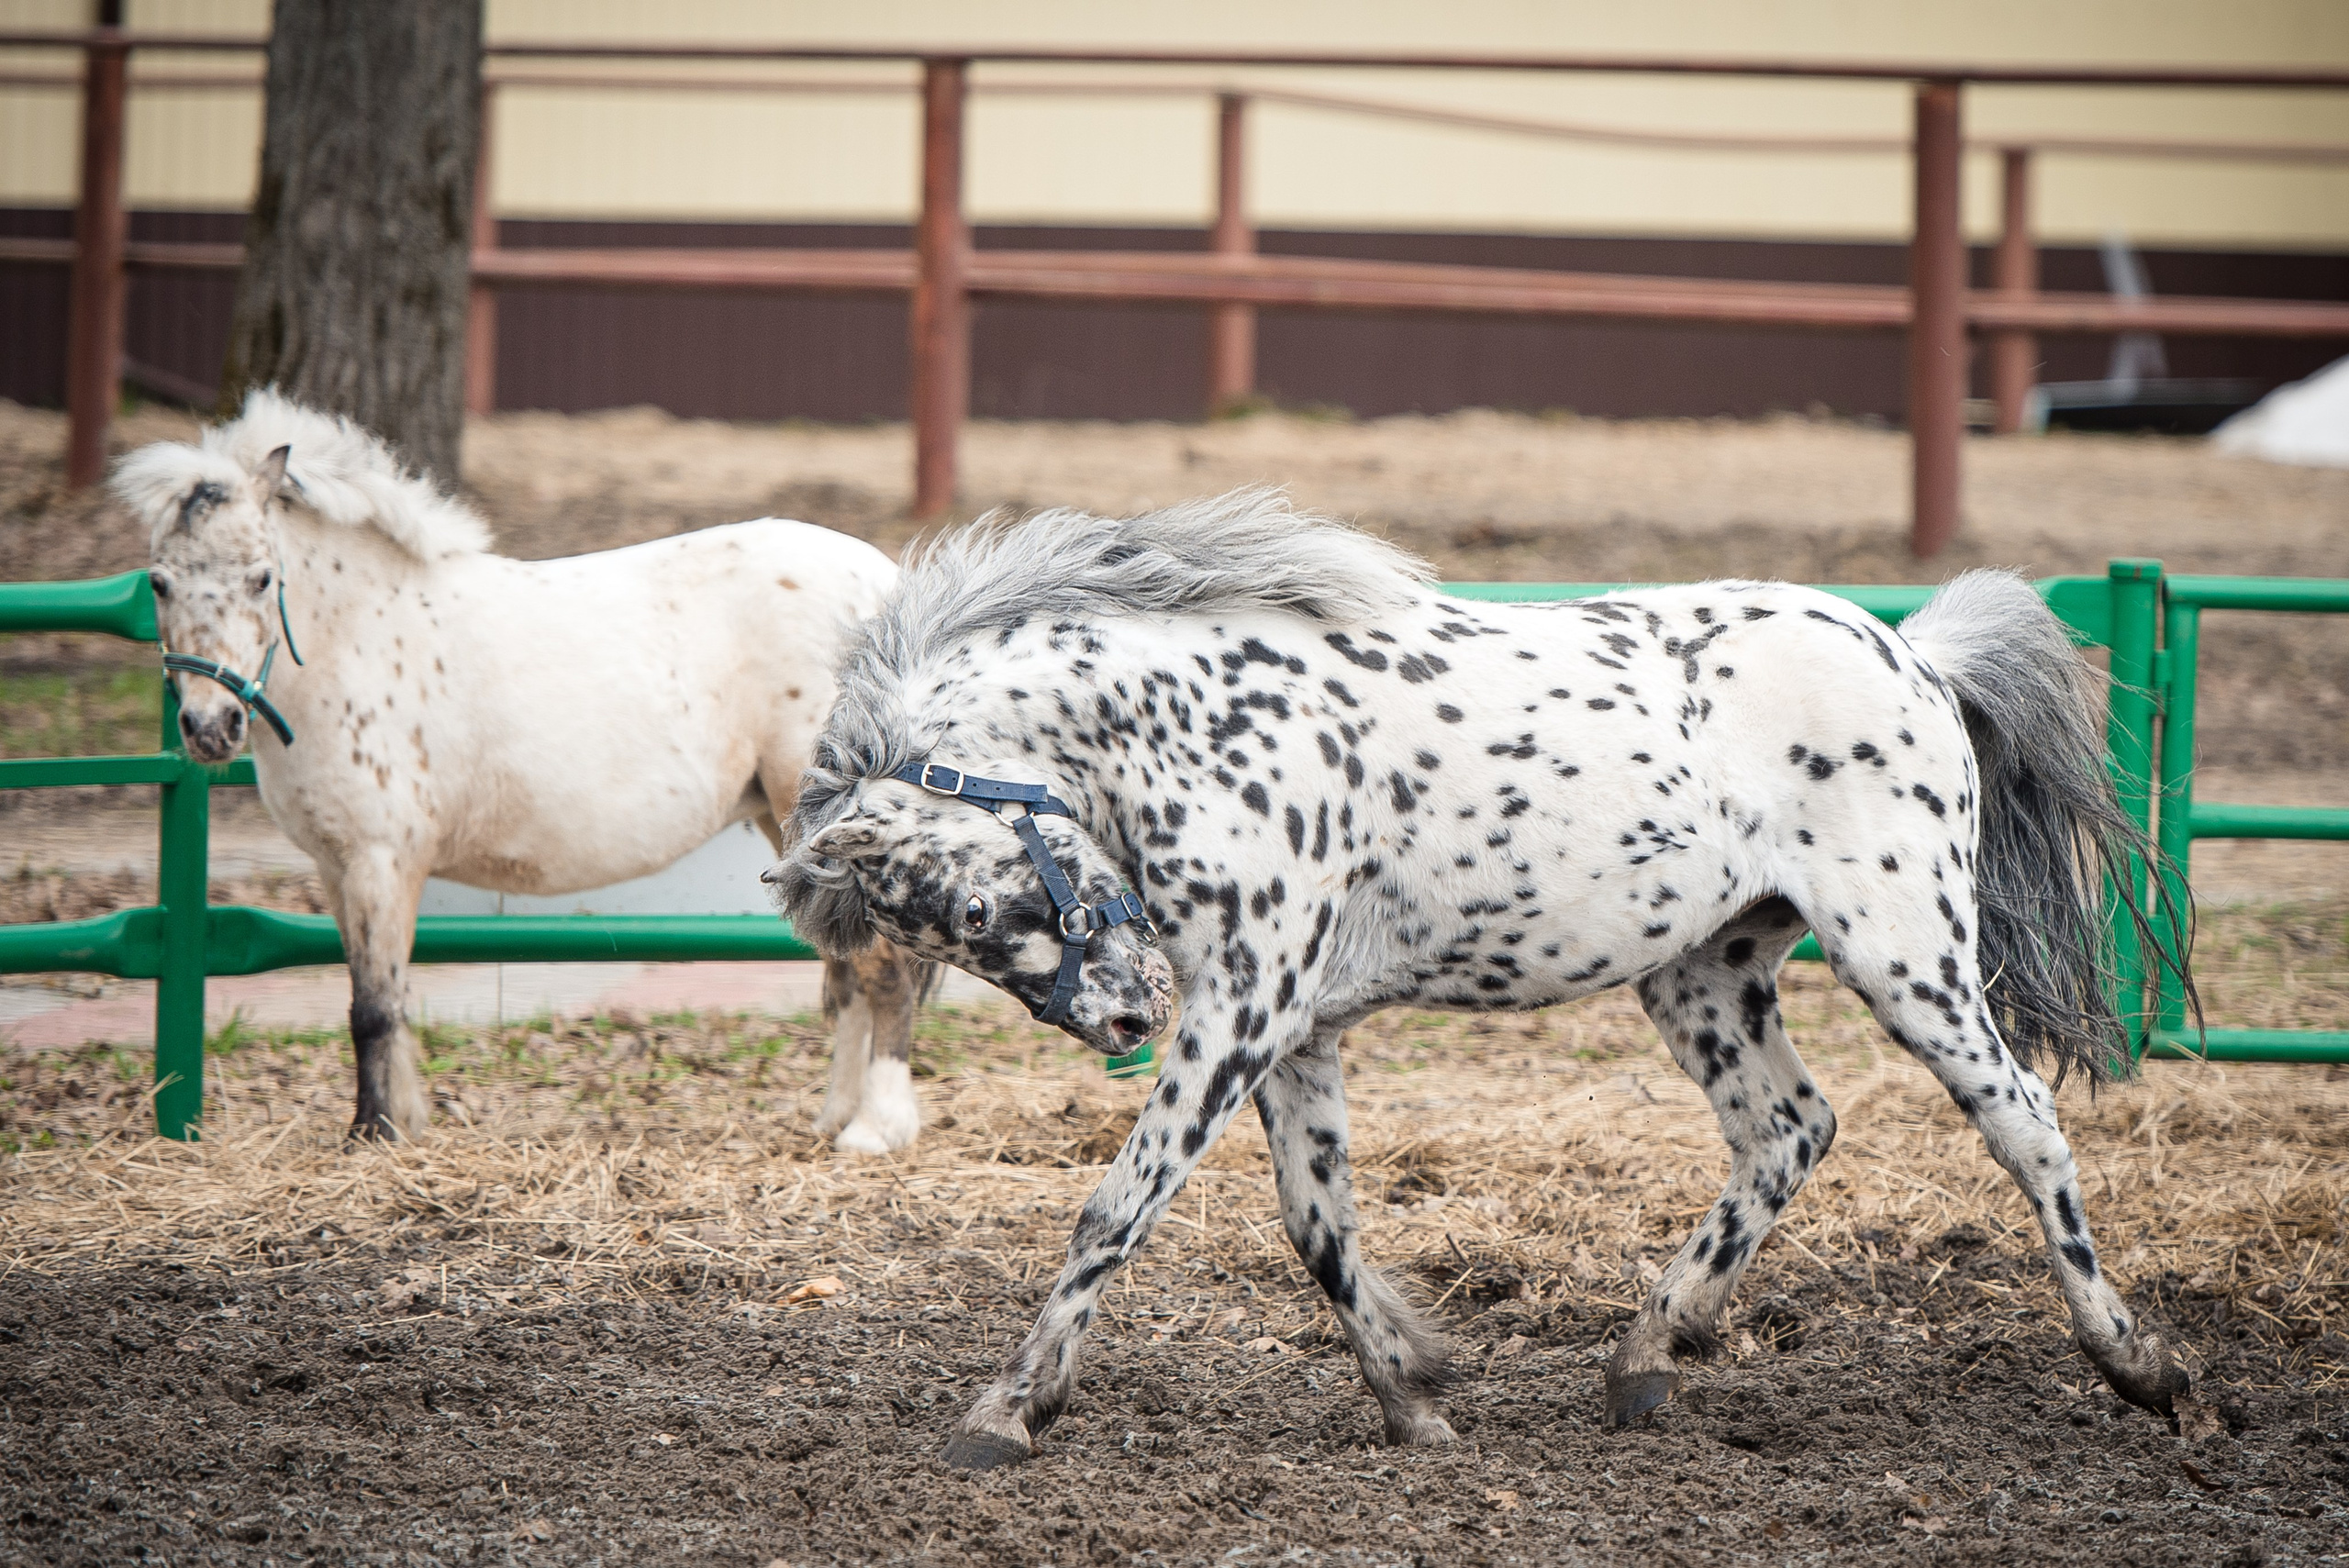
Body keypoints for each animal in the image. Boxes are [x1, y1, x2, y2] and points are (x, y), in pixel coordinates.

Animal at [113, 390, 930, 1151]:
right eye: (158, 582)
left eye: (260, 578)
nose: (209, 727)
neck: (359, 637)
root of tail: (888, 588)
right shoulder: (338, 868)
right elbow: (384, 997)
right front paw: (403, 1121)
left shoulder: (381, 861)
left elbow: (372, 1007)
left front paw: (373, 1133)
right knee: (850, 971)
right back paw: (834, 1117)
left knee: (885, 968)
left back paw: (874, 1128)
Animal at [770, 490, 2196, 1469]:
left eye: (974, 908)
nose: (1121, 1012)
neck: (1201, 726)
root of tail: (1918, 654)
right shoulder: (1290, 1032)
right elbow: (1318, 1223)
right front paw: (1414, 1398)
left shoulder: (1238, 1014)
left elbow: (1115, 1207)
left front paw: (1005, 1410)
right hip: (1707, 973)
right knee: (1789, 1128)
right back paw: (1644, 1354)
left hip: (1906, 950)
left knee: (2021, 1119)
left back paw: (2141, 1366)